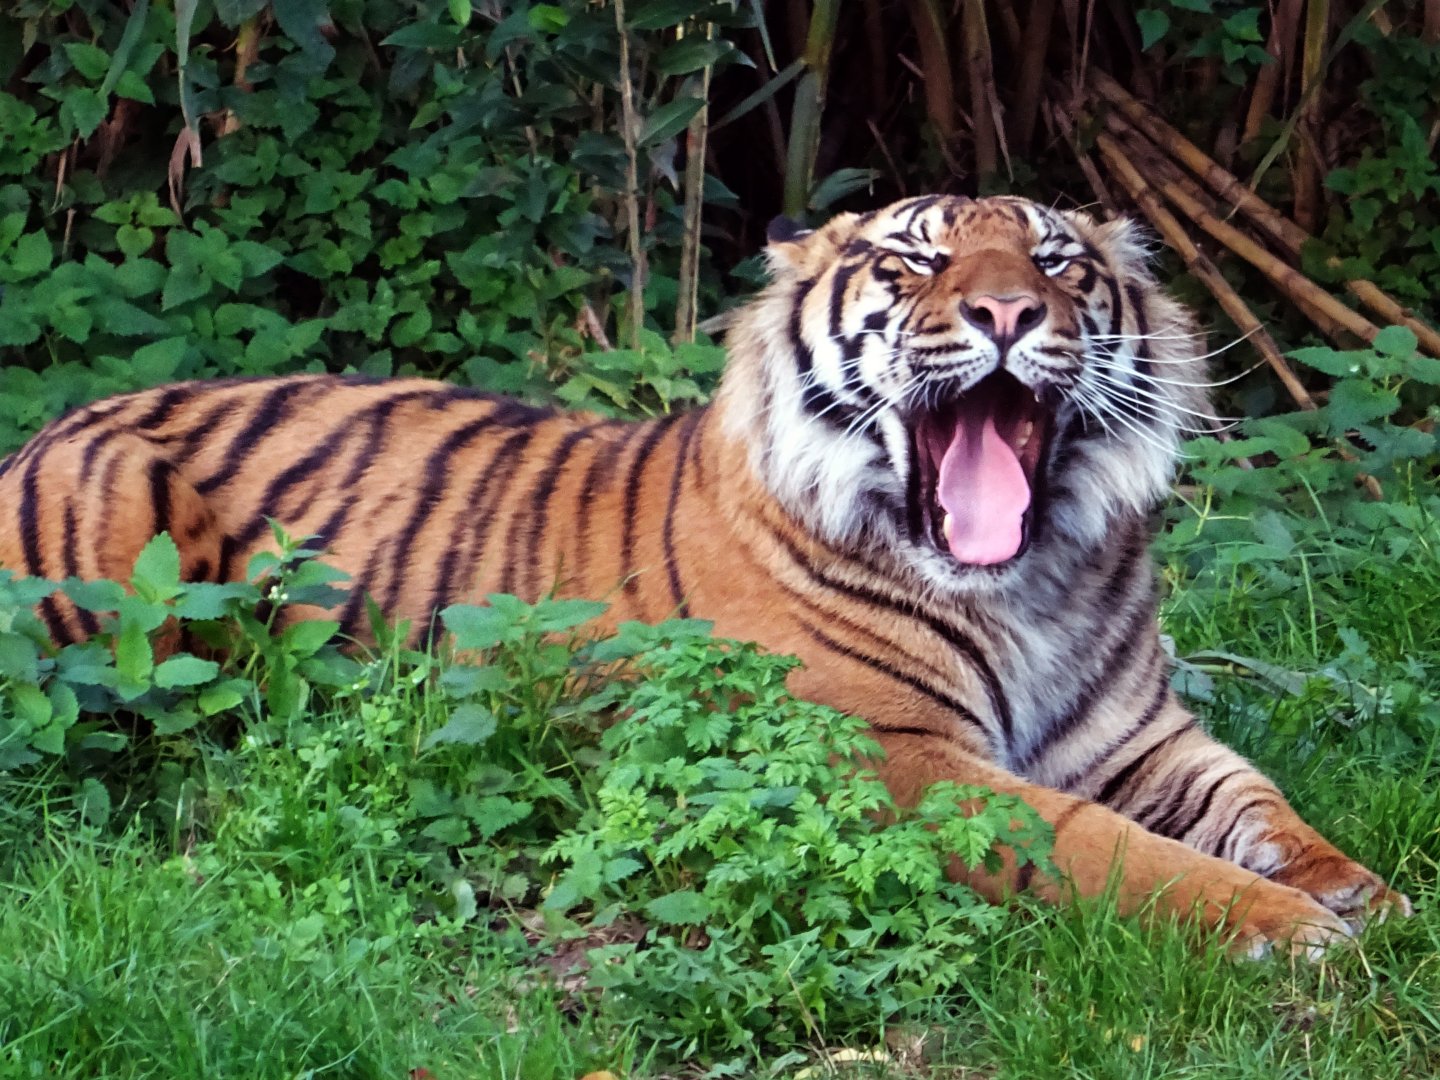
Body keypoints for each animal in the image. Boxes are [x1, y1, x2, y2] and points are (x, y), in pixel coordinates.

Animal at [0, 194, 1408, 954]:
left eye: (1057, 264)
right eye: (918, 263)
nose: (1010, 314)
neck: (1033, 582)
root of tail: (47, 426)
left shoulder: (1139, 738)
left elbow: (1262, 805)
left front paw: (1366, 895)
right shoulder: (886, 758)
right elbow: (1106, 850)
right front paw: (1292, 933)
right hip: (119, 559)